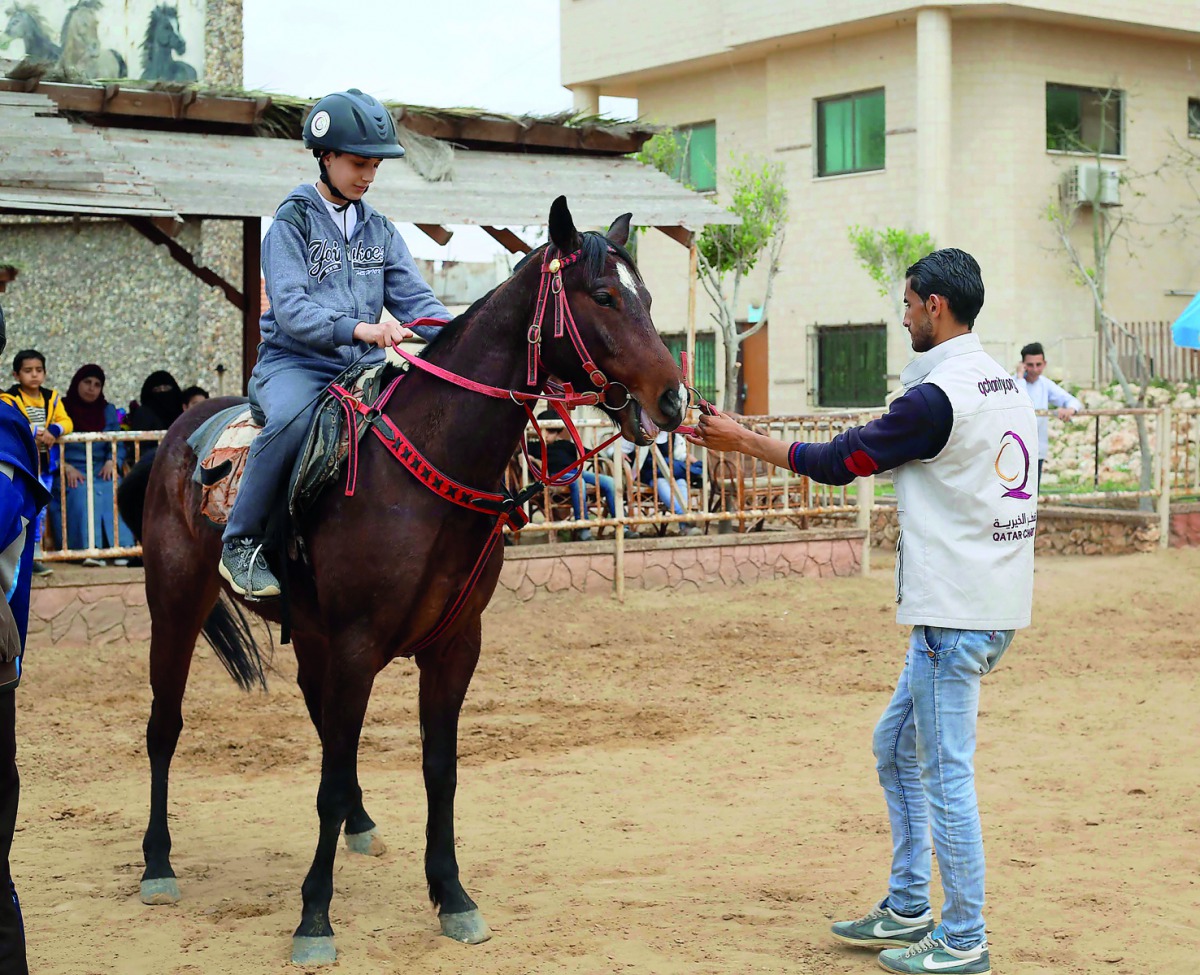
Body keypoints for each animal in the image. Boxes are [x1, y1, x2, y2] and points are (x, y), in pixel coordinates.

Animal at [117, 197, 685, 966]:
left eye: (648, 299)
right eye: (603, 296)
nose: (675, 402)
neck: (425, 470)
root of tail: (177, 436)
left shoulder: (453, 647)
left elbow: (437, 769)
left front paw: (453, 896)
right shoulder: (358, 645)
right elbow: (326, 781)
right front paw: (315, 919)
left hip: (310, 633)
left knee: (317, 717)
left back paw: (359, 825)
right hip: (176, 604)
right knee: (165, 725)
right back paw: (157, 863)